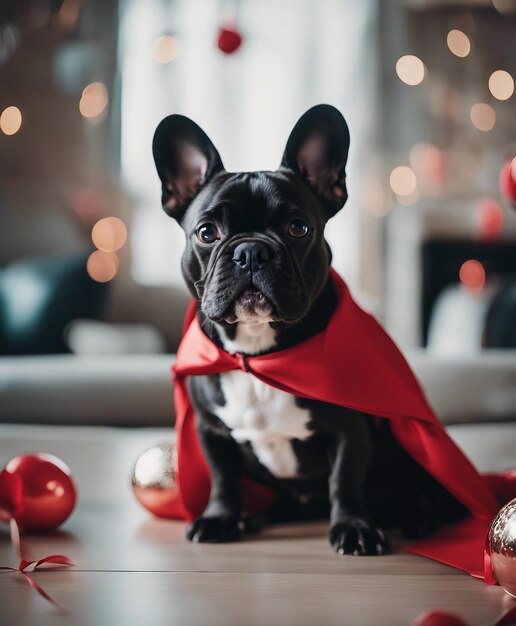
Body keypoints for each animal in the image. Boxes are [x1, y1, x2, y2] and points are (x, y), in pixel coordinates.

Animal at [151, 105, 466, 552]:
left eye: (298, 228)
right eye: (207, 232)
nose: (251, 251)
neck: (261, 357)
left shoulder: (351, 431)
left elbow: (344, 481)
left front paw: (353, 527)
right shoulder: (211, 431)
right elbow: (223, 479)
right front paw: (220, 518)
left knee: (425, 493)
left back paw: (416, 518)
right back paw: (257, 516)